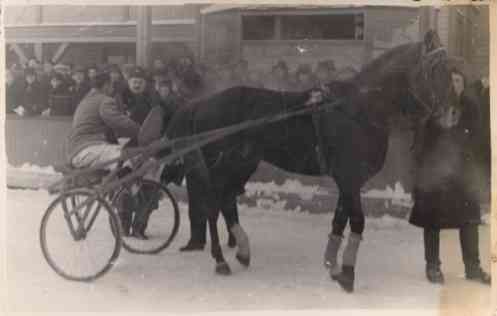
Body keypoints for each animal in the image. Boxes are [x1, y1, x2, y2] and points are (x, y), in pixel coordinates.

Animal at [160, 29, 454, 292]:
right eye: (435, 69)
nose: (451, 114)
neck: (359, 107)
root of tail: (202, 103)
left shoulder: (347, 182)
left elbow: (339, 220)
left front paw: (332, 265)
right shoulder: (350, 179)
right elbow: (357, 221)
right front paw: (347, 275)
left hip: (242, 165)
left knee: (227, 202)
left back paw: (242, 250)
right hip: (222, 166)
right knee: (213, 206)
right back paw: (221, 260)